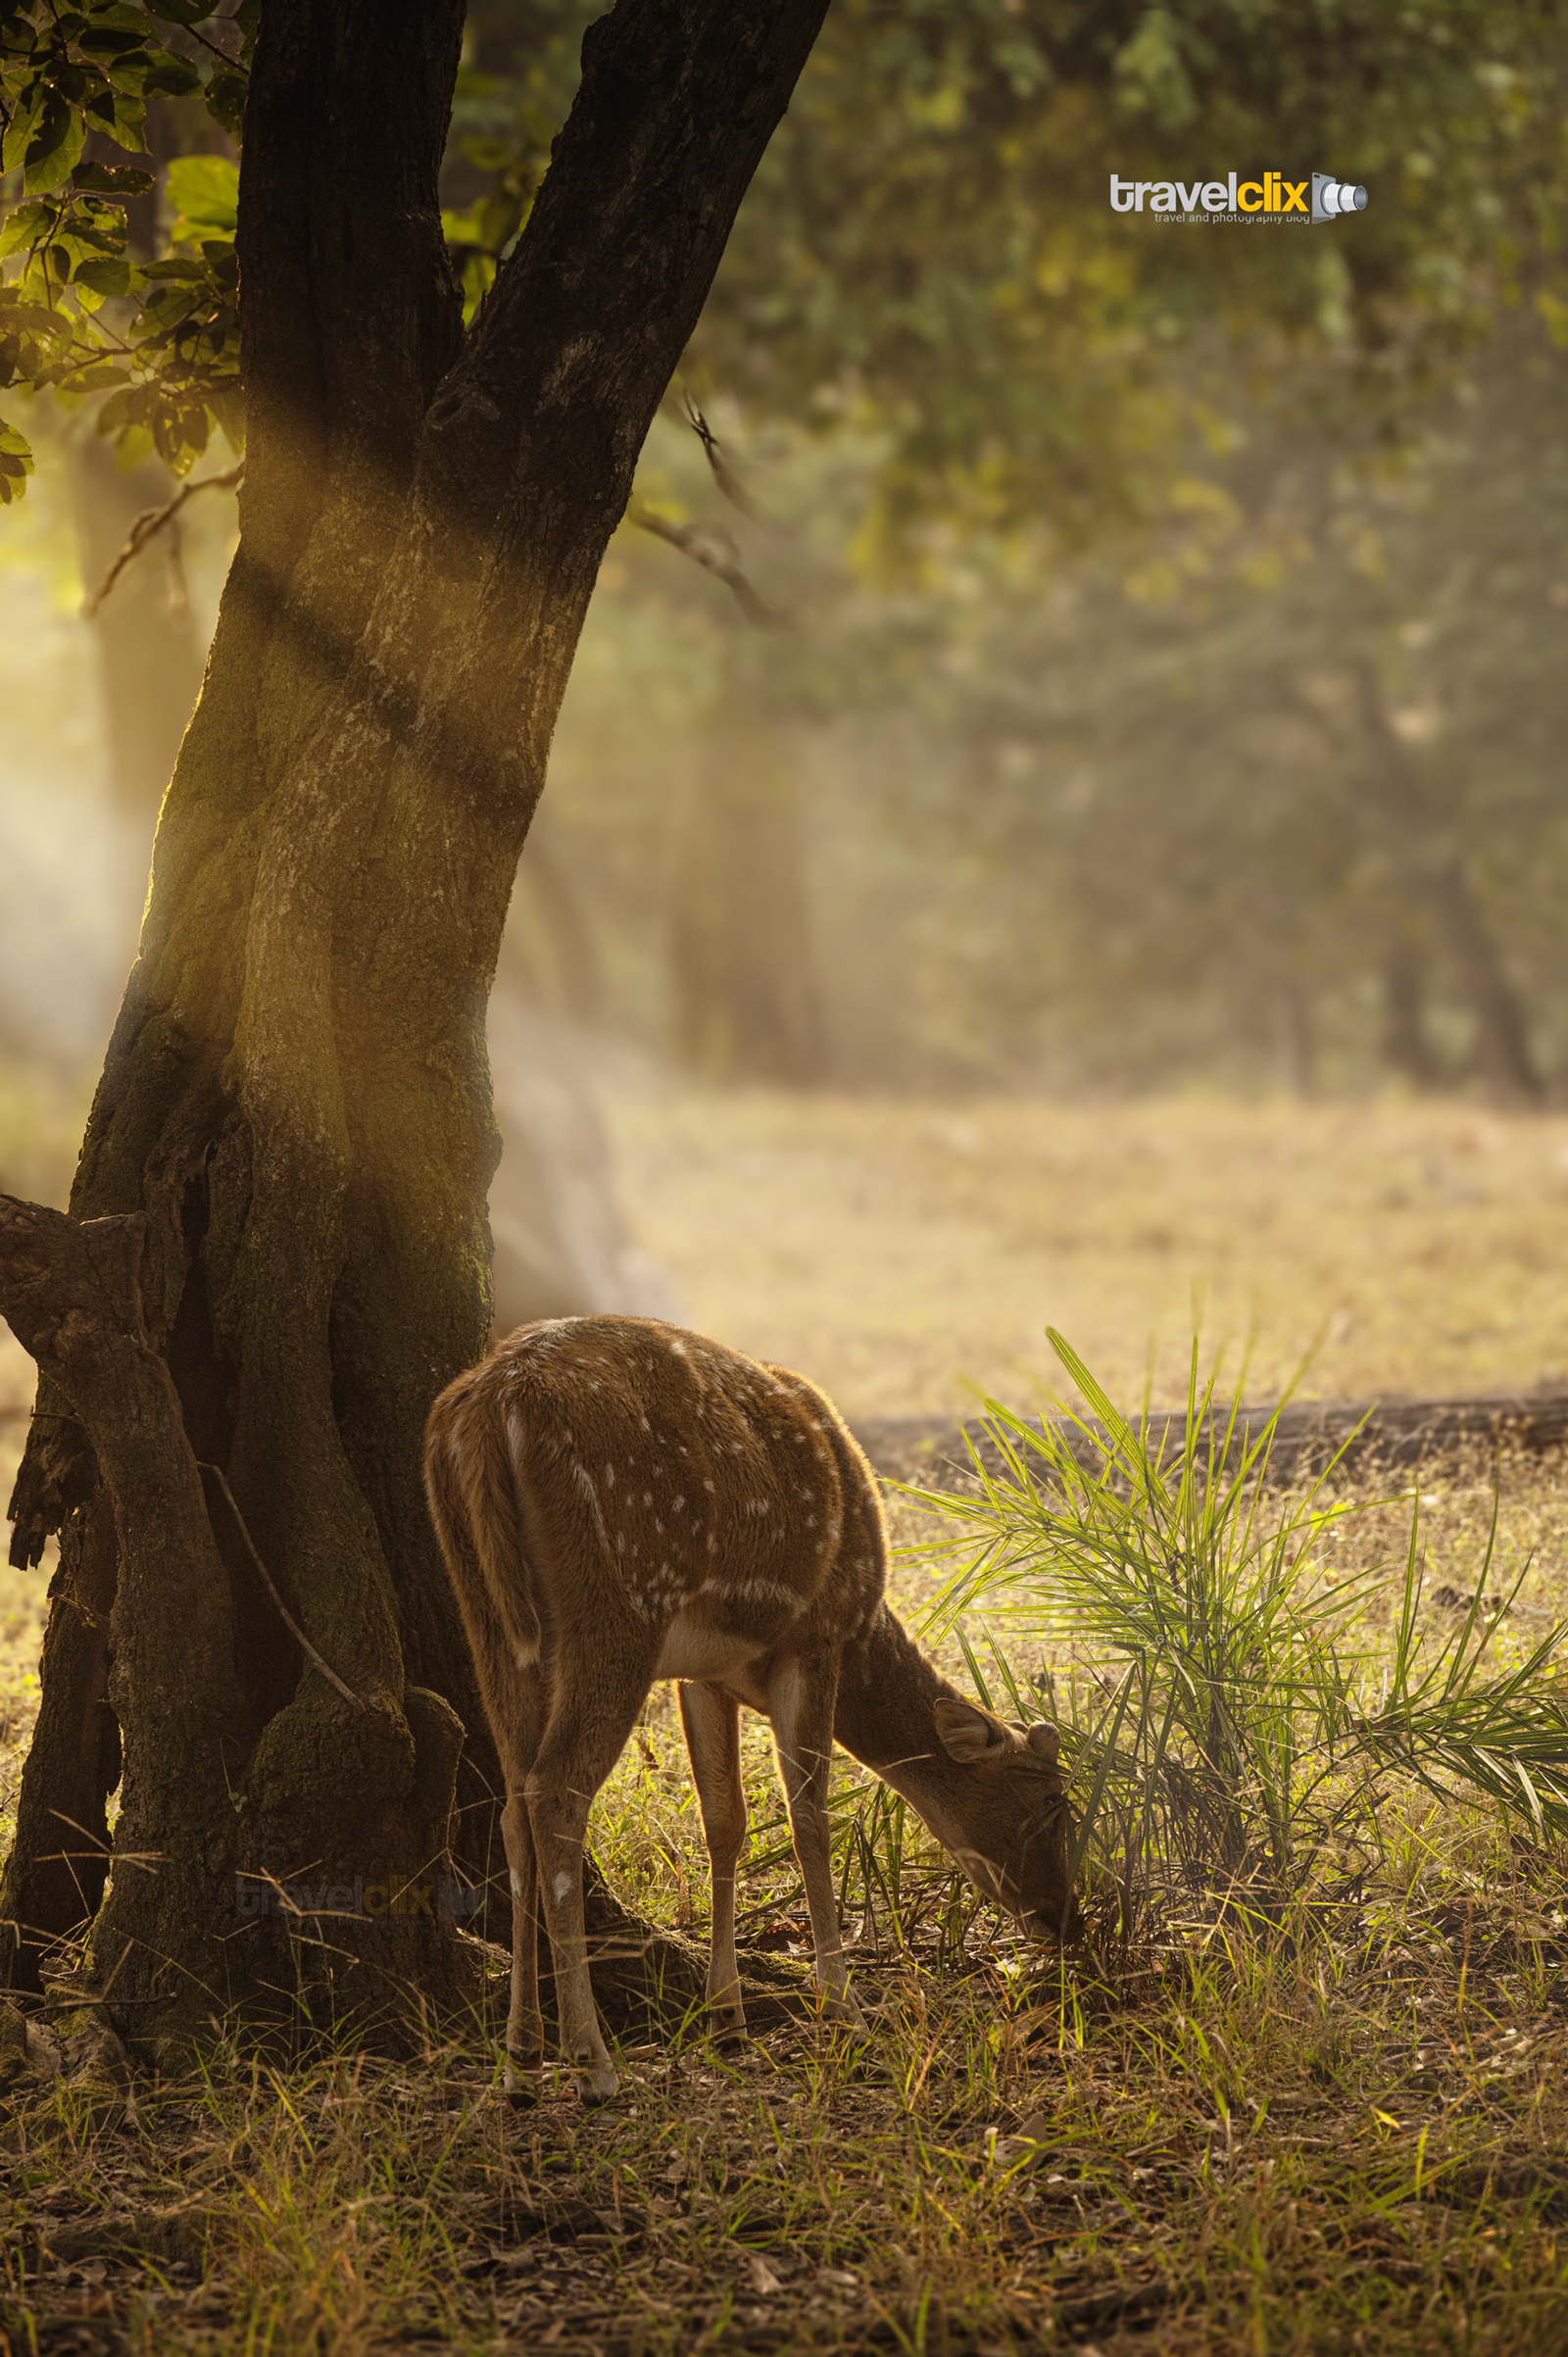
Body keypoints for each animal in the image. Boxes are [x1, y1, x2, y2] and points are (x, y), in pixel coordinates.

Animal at [421, 1310, 1070, 2102]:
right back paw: (592, 2063)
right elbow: (809, 1816)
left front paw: (726, 2018)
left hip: (487, 1612)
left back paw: (519, 2062)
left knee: (513, 1802)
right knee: (555, 1792)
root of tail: (494, 1406)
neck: (866, 1627)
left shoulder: (705, 1675)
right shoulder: (814, 1636)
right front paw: (843, 2005)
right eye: (1049, 1802)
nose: (1070, 1918)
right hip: (618, 1598)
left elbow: (724, 1823)